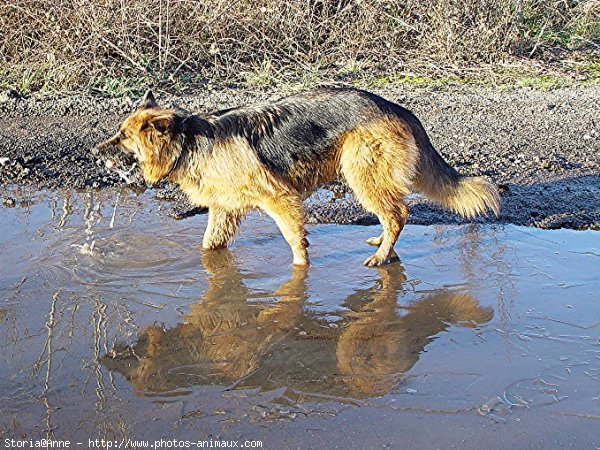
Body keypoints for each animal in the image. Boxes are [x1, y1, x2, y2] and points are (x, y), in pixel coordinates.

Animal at [91, 86, 500, 266]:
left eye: (123, 137)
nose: (95, 152)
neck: (189, 142)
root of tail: (394, 106)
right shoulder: (224, 210)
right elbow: (210, 244)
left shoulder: (279, 197)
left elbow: (294, 238)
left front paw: (299, 274)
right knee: (392, 214)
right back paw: (383, 243)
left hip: (361, 173)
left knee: (398, 213)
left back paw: (383, 255)